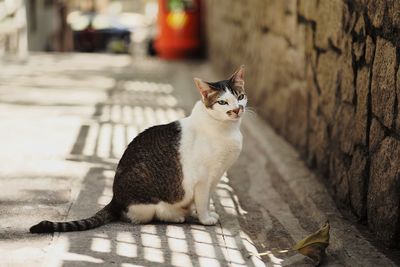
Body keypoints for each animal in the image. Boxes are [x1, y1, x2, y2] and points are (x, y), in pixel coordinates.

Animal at [29, 66, 247, 233]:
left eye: (240, 96)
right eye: (222, 102)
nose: (237, 110)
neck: (227, 131)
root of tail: (115, 199)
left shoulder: (216, 176)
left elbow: (205, 199)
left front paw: (201, 213)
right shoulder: (203, 179)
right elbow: (202, 201)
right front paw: (205, 218)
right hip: (149, 203)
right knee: (149, 215)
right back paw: (176, 215)